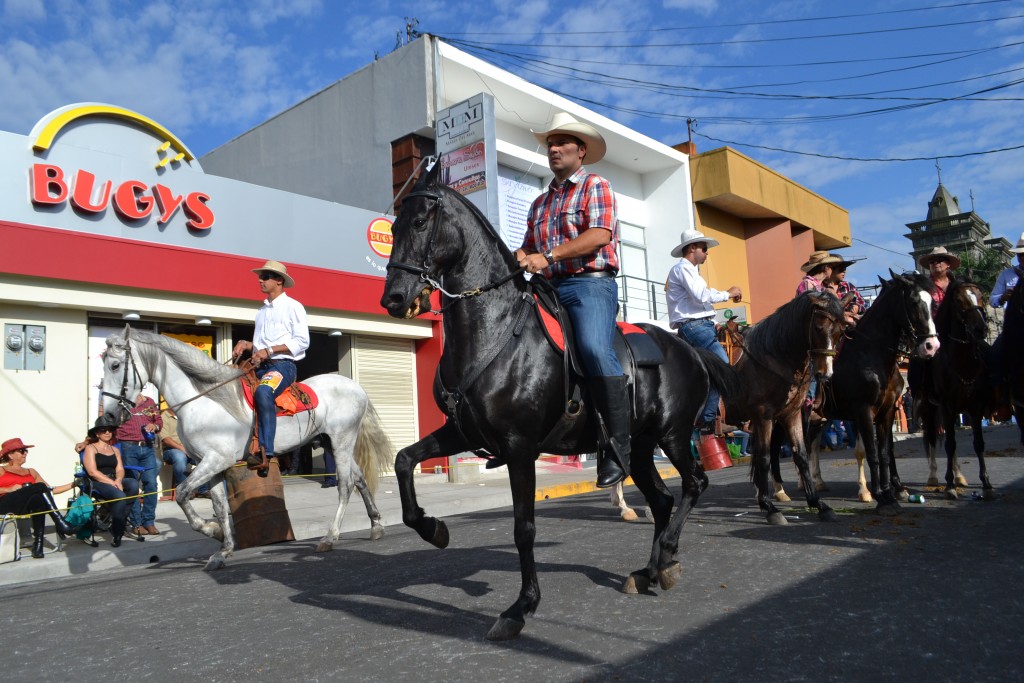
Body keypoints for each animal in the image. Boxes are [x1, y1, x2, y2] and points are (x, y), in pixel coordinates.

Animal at [100, 327, 391, 569]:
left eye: (115, 365)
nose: (110, 416)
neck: (205, 401)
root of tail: (356, 387)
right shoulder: (209, 465)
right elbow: (219, 506)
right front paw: (223, 548)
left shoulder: (216, 460)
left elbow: (182, 493)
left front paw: (212, 531)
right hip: (332, 443)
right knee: (359, 478)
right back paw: (376, 525)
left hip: (342, 441)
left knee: (345, 485)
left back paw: (330, 537)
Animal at [380, 165, 724, 643]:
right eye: (391, 229)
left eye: (418, 223)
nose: (394, 299)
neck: (494, 330)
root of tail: (690, 350)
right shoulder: (462, 432)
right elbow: (404, 460)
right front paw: (433, 528)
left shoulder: (519, 446)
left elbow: (523, 528)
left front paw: (521, 607)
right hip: (638, 447)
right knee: (660, 501)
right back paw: (650, 570)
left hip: (672, 435)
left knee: (694, 485)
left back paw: (667, 558)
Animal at [802, 272, 937, 511]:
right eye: (913, 302)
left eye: (933, 303)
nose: (931, 346)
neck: (871, 356)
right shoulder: (863, 411)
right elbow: (871, 452)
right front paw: (879, 494)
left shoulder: (887, 411)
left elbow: (885, 452)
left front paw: (893, 491)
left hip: (820, 417)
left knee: (812, 444)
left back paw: (816, 482)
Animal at [917, 278, 995, 501]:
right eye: (959, 300)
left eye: (979, 295)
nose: (980, 329)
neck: (962, 362)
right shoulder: (946, 405)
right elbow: (949, 444)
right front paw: (950, 486)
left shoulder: (976, 407)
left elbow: (978, 443)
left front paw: (986, 484)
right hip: (928, 408)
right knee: (932, 438)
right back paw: (934, 476)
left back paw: (959, 475)